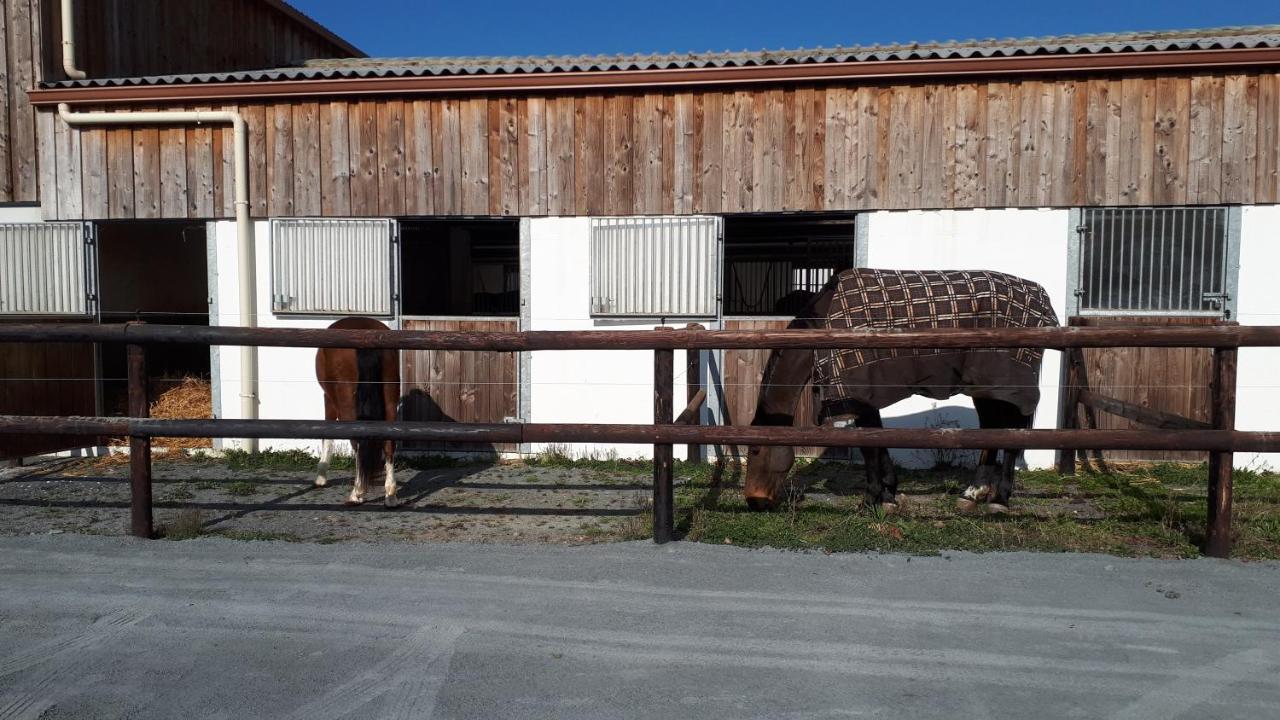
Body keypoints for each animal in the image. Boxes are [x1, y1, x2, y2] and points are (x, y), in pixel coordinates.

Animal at [311, 316, 399, 507]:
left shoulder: (329, 398)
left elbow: (327, 433)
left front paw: (321, 477)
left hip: (345, 404)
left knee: (357, 441)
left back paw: (357, 493)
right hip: (390, 401)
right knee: (389, 442)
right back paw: (390, 495)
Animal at [742, 267, 1059, 509]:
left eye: (755, 450)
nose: (754, 501)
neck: (826, 328)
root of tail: (1042, 297)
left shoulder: (857, 394)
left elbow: (869, 447)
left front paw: (872, 499)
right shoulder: (865, 399)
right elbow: (876, 441)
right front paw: (888, 494)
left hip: (1008, 387)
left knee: (1012, 433)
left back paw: (1000, 499)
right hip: (987, 389)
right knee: (993, 430)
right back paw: (973, 494)